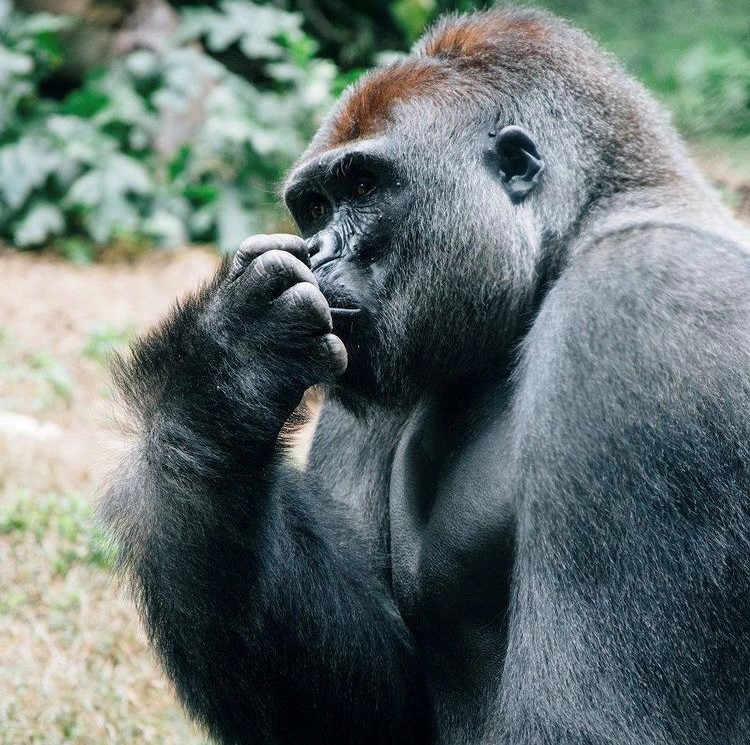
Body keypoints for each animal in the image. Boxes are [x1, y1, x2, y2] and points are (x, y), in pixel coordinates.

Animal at [103, 7, 750, 744]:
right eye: (314, 207)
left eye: (362, 187)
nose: (320, 253)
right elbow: (381, 701)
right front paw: (221, 384)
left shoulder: (642, 311)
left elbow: (594, 717)